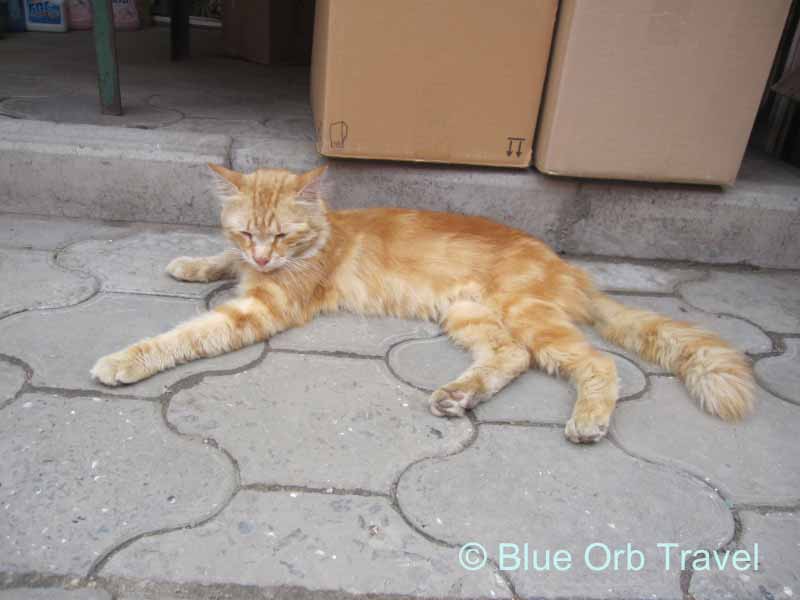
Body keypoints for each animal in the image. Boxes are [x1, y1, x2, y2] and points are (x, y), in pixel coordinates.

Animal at [90, 164, 752, 440]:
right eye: (248, 231)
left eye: (281, 234)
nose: (263, 257)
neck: (324, 232)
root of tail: (568, 266)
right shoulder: (251, 273)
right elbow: (219, 262)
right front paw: (192, 263)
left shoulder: (264, 307)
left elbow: (184, 336)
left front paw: (124, 360)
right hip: (471, 316)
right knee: (512, 358)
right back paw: (460, 394)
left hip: (526, 315)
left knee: (597, 362)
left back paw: (589, 419)